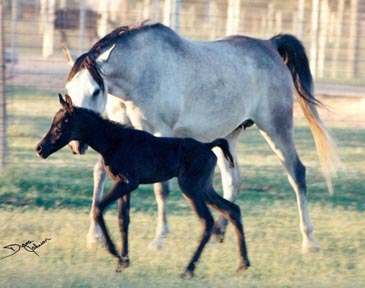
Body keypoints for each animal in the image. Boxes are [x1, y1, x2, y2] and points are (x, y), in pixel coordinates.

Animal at [63, 22, 338, 252]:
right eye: (68, 90)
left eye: (95, 90)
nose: (76, 143)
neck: (143, 72)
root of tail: (269, 45)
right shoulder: (116, 135)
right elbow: (100, 175)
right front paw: (94, 236)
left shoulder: (160, 134)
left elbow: (162, 188)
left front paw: (159, 239)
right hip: (228, 136)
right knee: (233, 179)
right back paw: (219, 233)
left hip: (276, 128)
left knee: (297, 172)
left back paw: (309, 240)